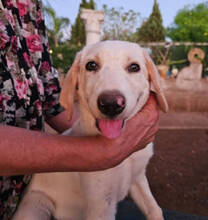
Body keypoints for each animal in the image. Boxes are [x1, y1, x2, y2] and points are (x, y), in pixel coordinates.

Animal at [13, 40, 168, 220]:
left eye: (134, 67)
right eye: (91, 65)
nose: (110, 104)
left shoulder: (138, 178)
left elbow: (155, 209)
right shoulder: (100, 205)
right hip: (36, 203)